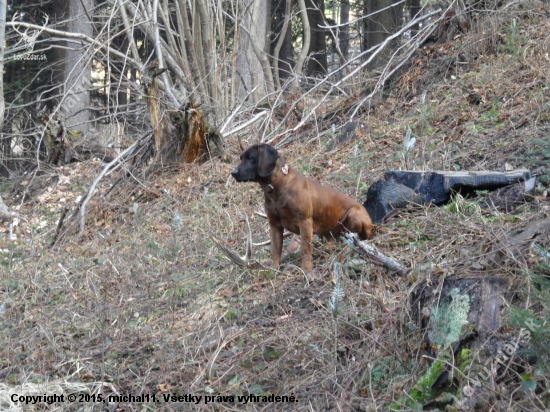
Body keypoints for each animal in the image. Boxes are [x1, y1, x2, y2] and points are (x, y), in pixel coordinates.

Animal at [231, 143, 374, 272]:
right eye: (241, 158)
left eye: (250, 157)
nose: (233, 173)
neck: (276, 186)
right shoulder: (274, 224)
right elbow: (275, 250)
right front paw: (274, 269)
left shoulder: (304, 221)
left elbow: (305, 248)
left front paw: (306, 270)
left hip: (354, 216)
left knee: (360, 238)